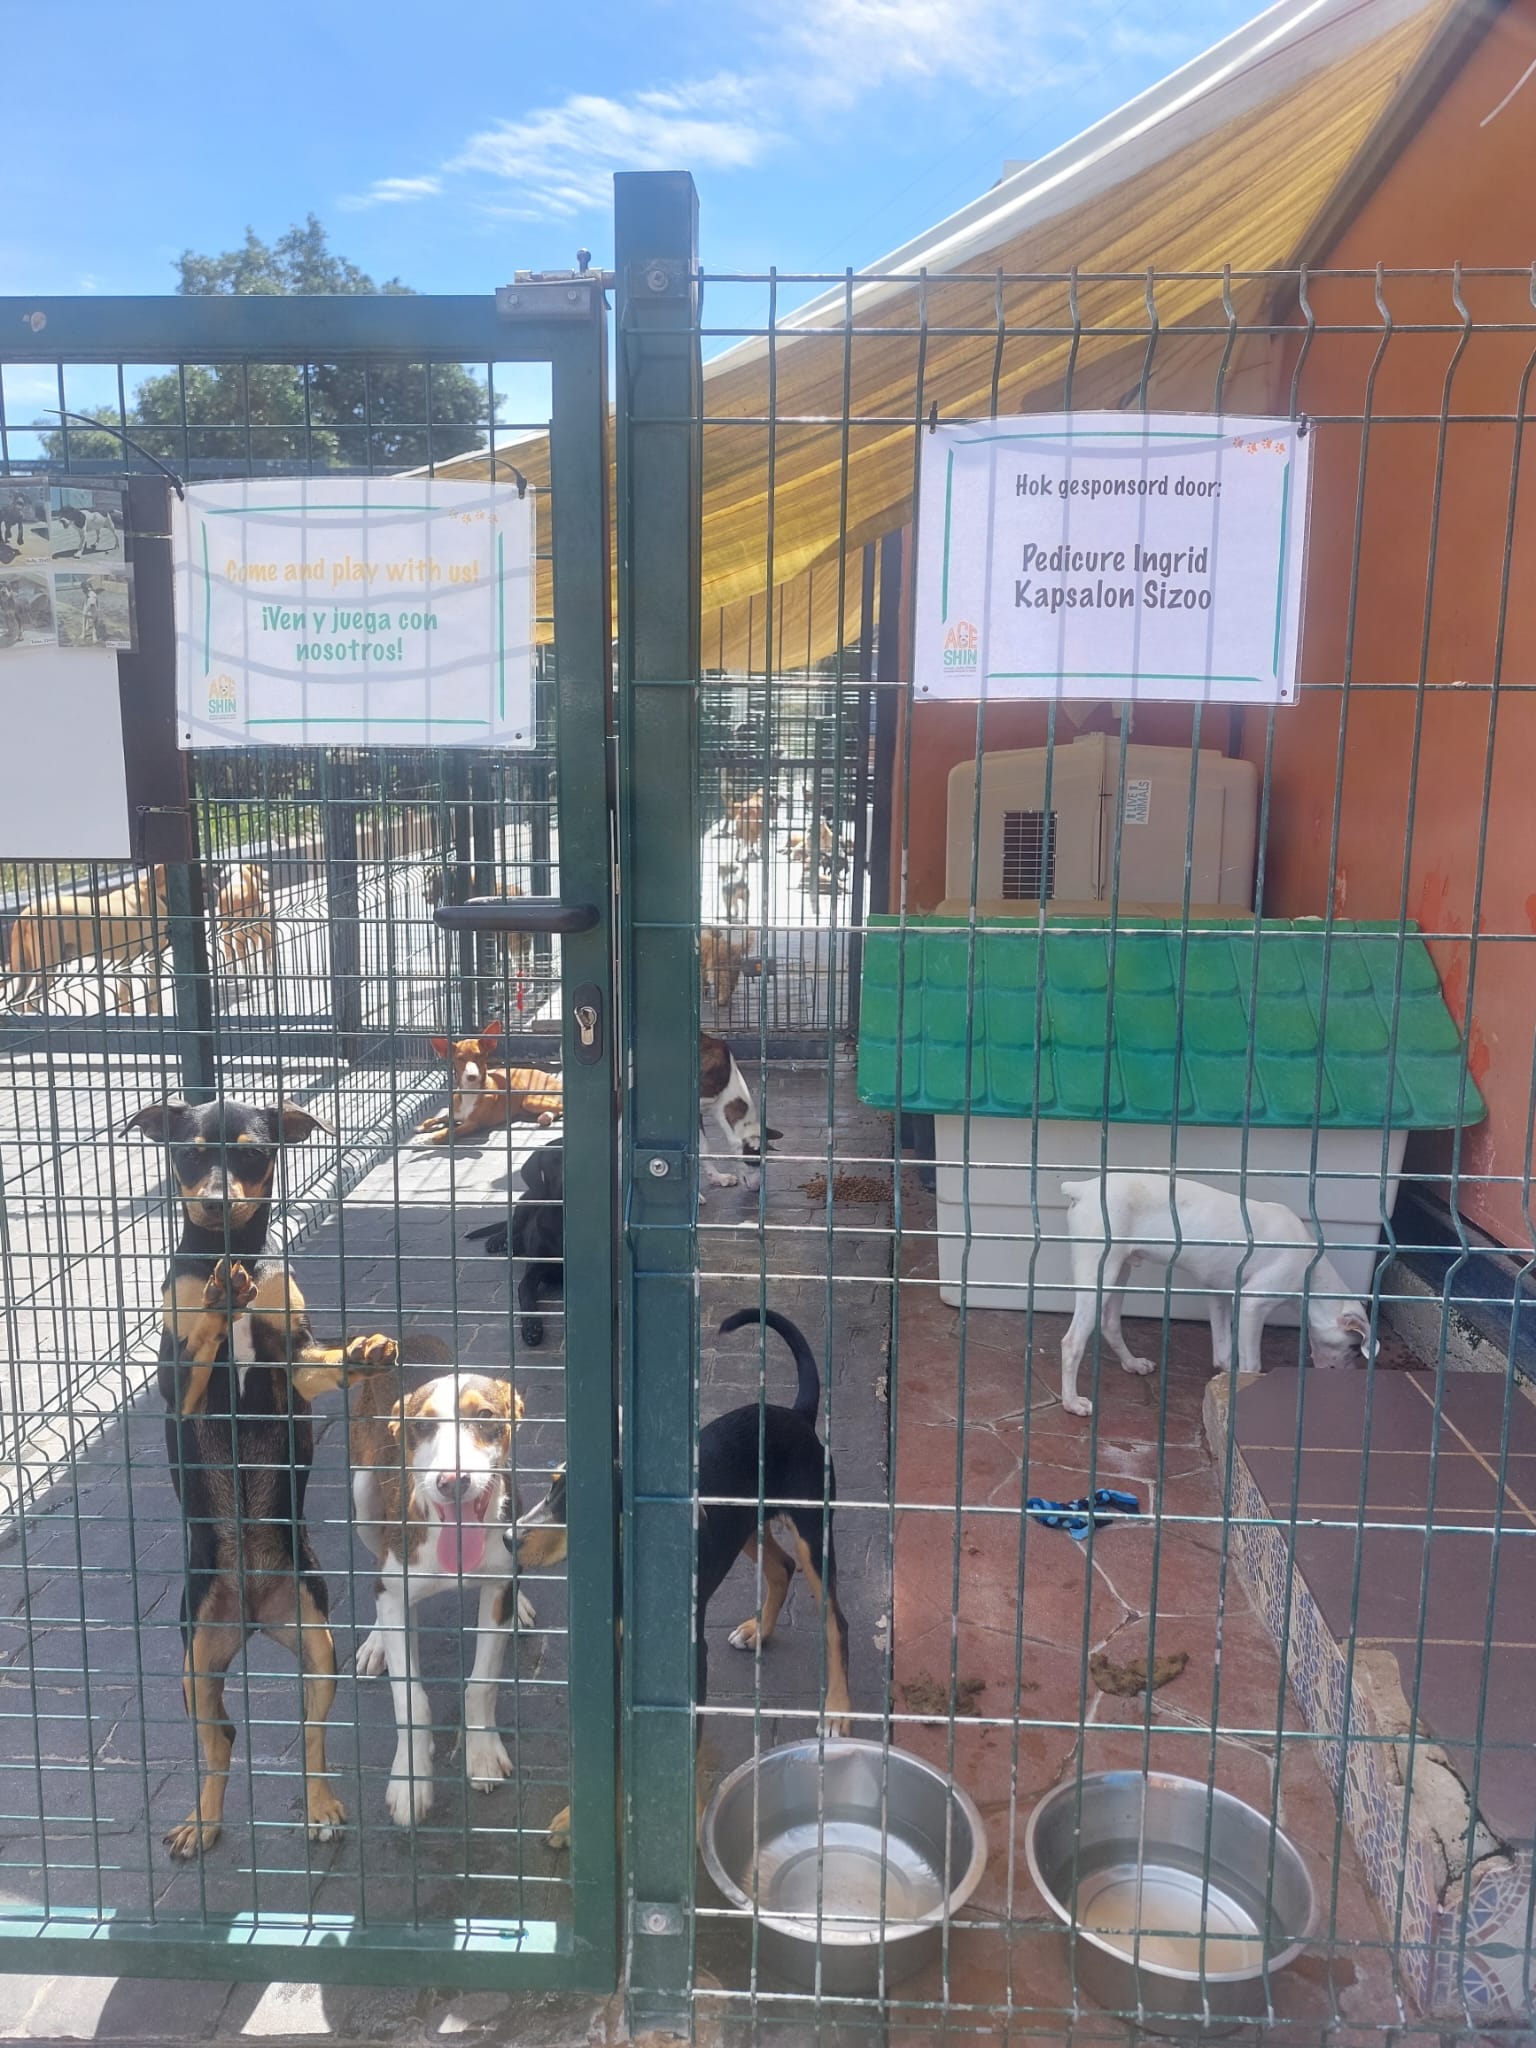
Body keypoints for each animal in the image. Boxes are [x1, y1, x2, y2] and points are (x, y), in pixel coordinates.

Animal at [126, 1097, 411, 1867]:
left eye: (253, 1154)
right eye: (190, 1154)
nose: (215, 1201)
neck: (241, 1253)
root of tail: (253, 1615)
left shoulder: (293, 1364)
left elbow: (324, 1360)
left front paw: (364, 1352)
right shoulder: (176, 1385)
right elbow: (200, 1339)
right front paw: (218, 1298)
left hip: (317, 1642)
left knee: (311, 1735)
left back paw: (320, 1807)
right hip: (195, 1659)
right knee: (219, 1738)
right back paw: (202, 1821)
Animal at [352, 1376, 532, 1826]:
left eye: (485, 1416)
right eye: (422, 1425)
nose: (453, 1481)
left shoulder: (497, 1588)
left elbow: (482, 1682)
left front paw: (482, 1754)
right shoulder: (397, 1588)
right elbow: (410, 1700)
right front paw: (410, 1780)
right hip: (362, 1497)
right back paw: (375, 1643)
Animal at [415, 1024, 565, 1155]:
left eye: (479, 1056)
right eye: (460, 1058)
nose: (472, 1076)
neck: (470, 1093)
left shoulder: (473, 1124)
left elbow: (448, 1132)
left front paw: (425, 1139)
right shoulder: (453, 1114)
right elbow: (433, 1119)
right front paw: (422, 1127)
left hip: (530, 1100)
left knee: (561, 1107)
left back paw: (546, 1116)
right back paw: (545, 1116)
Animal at [1064, 1179, 1376, 1417]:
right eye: (1352, 1348)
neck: (1311, 1266)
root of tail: (1084, 1188)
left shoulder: (1218, 1294)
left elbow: (1224, 1352)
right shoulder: (1252, 1304)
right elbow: (1252, 1365)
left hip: (1120, 1271)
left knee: (1109, 1323)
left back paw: (1132, 1363)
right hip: (1099, 1274)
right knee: (1072, 1342)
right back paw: (1072, 1403)